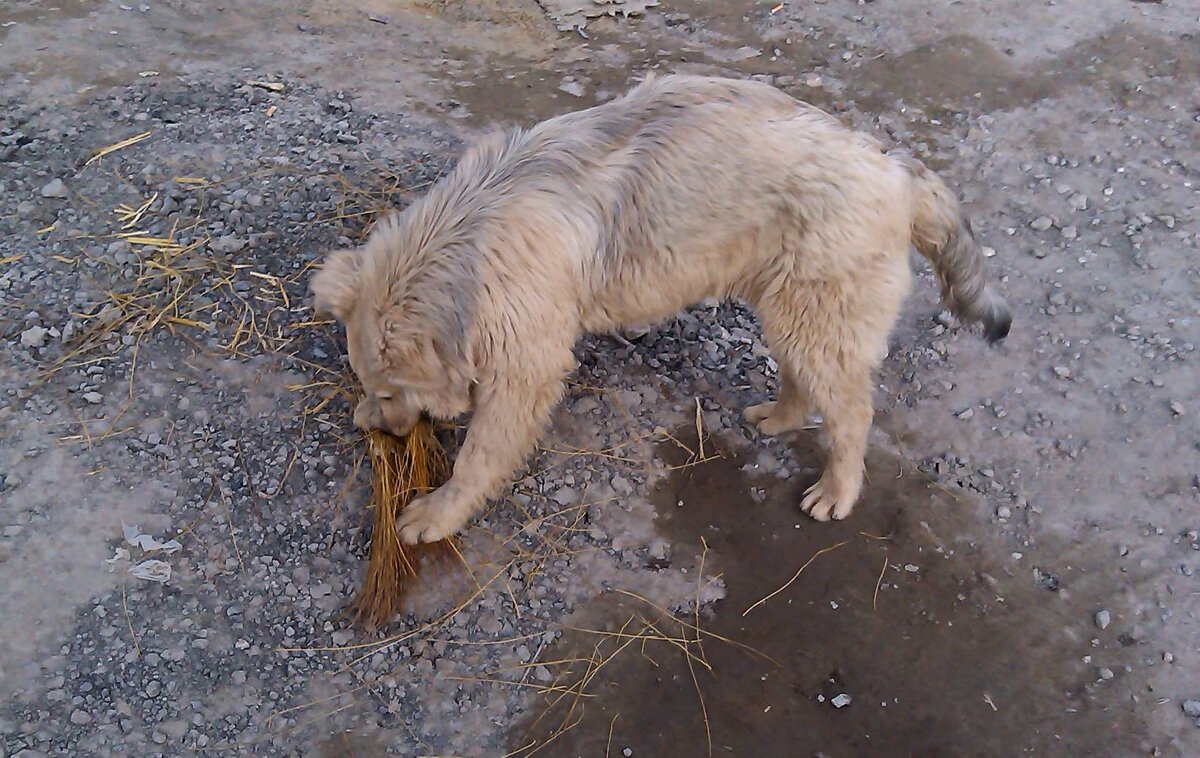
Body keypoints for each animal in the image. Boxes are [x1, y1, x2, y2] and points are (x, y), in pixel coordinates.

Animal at [312, 72, 1012, 544]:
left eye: (395, 391)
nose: (378, 428)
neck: (467, 233)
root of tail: (895, 169)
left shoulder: (524, 369)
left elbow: (480, 454)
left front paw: (441, 511)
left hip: (821, 316)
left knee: (852, 411)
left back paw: (838, 489)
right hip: (792, 307)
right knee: (803, 377)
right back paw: (781, 416)